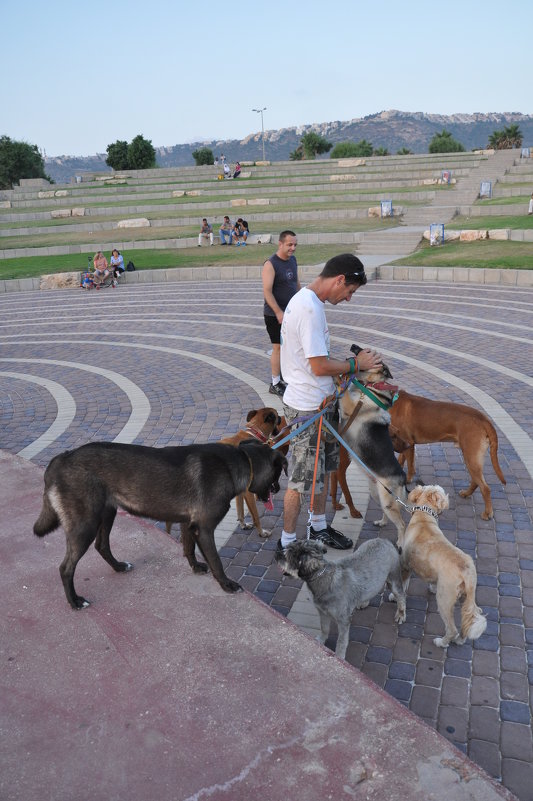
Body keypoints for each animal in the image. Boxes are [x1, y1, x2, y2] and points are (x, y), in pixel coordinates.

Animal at [33, 438, 286, 608]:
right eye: (277, 475)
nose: (278, 489)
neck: (241, 461)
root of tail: (61, 458)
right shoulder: (204, 529)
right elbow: (215, 561)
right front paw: (226, 584)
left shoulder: (188, 524)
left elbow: (188, 549)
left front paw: (195, 567)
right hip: (85, 526)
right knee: (66, 568)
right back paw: (75, 601)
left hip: (107, 513)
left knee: (101, 546)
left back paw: (119, 567)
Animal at [276, 536, 406, 656]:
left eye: (288, 556)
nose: (277, 554)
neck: (324, 578)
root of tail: (385, 540)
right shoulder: (322, 612)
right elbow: (324, 628)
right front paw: (321, 640)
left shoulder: (343, 620)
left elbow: (341, 642)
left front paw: (339, 656)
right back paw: (364, 602)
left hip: (393, 579)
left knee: (401, 595)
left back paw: (401, 614)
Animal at [388, 390, 504, 520]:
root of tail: (484, 419)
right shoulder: (404, 444)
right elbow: (401, 460)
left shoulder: (408, 443)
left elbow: (409, 466)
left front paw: (408, 480)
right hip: (473, 459)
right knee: (476, 481)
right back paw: (466, 493)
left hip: (471, 457)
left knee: (485, 488)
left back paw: (487, 512)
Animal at [400, 484, 486, 648]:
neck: (424, 517)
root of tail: (466, 572)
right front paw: (431, 587)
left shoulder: (406, 564)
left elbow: (402, 584)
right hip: (466, 598)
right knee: (465, 624)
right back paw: (460, 640)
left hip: (444, 599)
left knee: (452, 629)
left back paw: (441, 642)